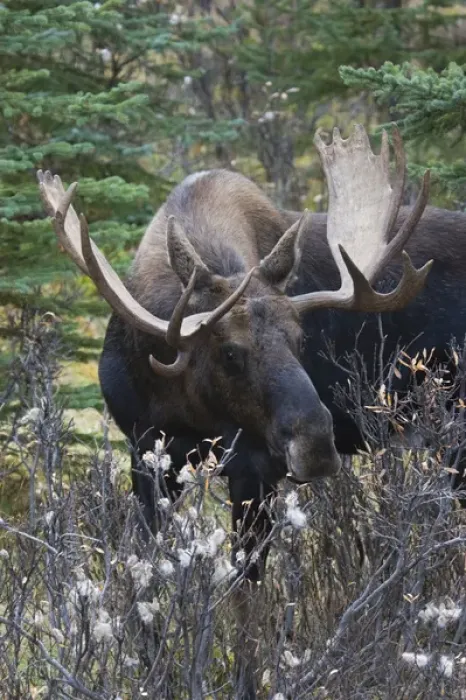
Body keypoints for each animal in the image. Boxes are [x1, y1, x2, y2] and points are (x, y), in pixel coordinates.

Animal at [37, 124, 439, 583]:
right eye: (229, 353)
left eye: (301, 340)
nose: (317, 445)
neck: (179, 400)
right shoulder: (145, 449)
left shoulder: (255, 463)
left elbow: (247, 581)